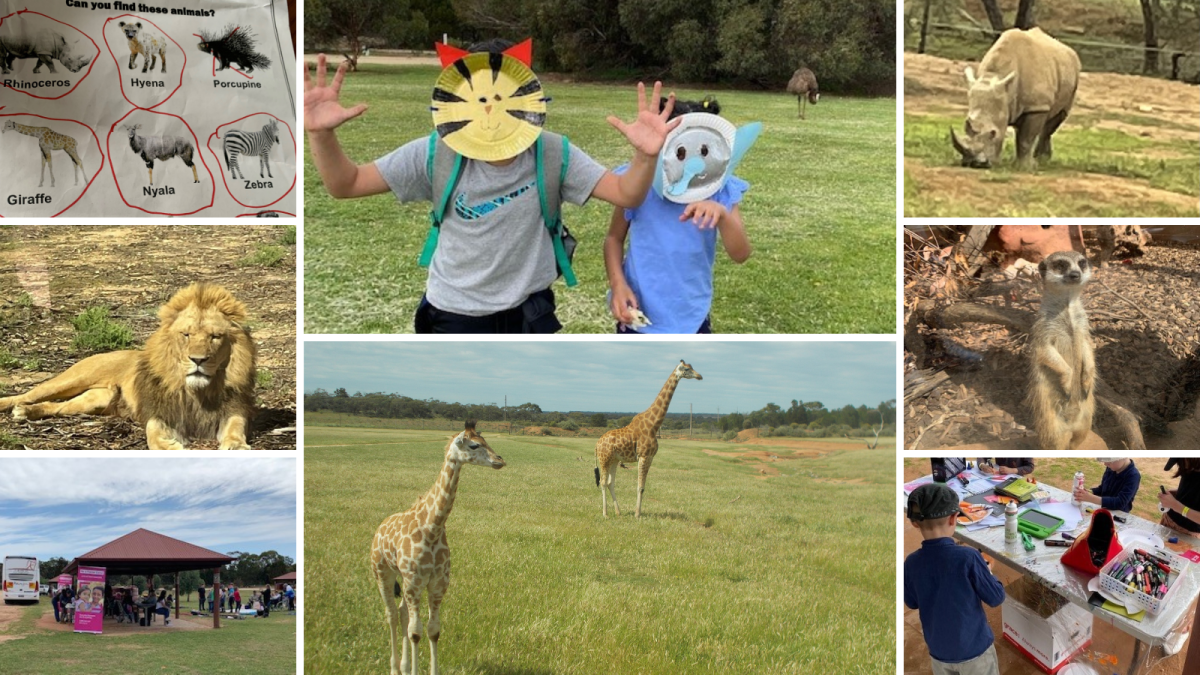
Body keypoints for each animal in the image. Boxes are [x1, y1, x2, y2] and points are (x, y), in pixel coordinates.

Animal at [0, 281, 258, 449]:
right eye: (186, 334)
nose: (198, 360)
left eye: (215, 337)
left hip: (94, 400)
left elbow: (236, 427)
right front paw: (168, 446)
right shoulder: (159, 411)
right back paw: (16, 407)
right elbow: (152, 433)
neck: (197, 390)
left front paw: (236, 445)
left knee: (58, 407)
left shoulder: (233, 409)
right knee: (28, 395)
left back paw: (27, 412)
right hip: (72, 379)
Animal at [374, 420, 506, 672]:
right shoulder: (415, 582)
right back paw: (395, 668)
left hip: (403, 580)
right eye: (474, 445)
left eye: (485, 440)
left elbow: (433, 631)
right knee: (392, 615)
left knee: (401, 613)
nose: (500, 460)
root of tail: (379, 529)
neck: (432, 528)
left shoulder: (438, 583)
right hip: (382, 572)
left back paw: (404, 666)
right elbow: (415, 632)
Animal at [592, 360, 700, 516]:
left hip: (614, 460)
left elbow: (642, 486)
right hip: (604, 459)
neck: (653, 425)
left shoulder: (650, 457)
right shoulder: (644, 456)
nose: (699, 376)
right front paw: (638, 514)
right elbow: (640, 487)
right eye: (686, 369)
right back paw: (605, 514)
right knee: (602, 481)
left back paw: (618, 512)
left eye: (692, 367)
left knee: (610, 483)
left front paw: (637, 512)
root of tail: (596, 445)